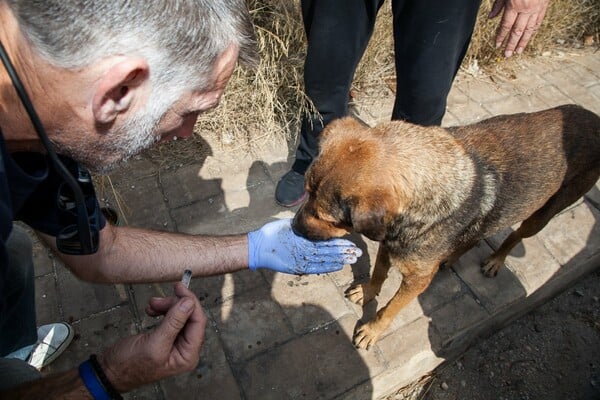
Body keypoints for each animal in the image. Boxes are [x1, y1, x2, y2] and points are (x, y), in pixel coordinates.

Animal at [292, 104, 600, 350]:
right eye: (305, 190)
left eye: (325, 218)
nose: (294, 228)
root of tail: (593, 117)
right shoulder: (390, 245)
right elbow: (379, 273)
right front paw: (368, 290)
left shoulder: (417, 279)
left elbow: (390, 309)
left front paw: (372, 330)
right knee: (475, 235)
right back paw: (452, 257)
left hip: (542, 214)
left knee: (514, 235)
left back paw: (496, 260)